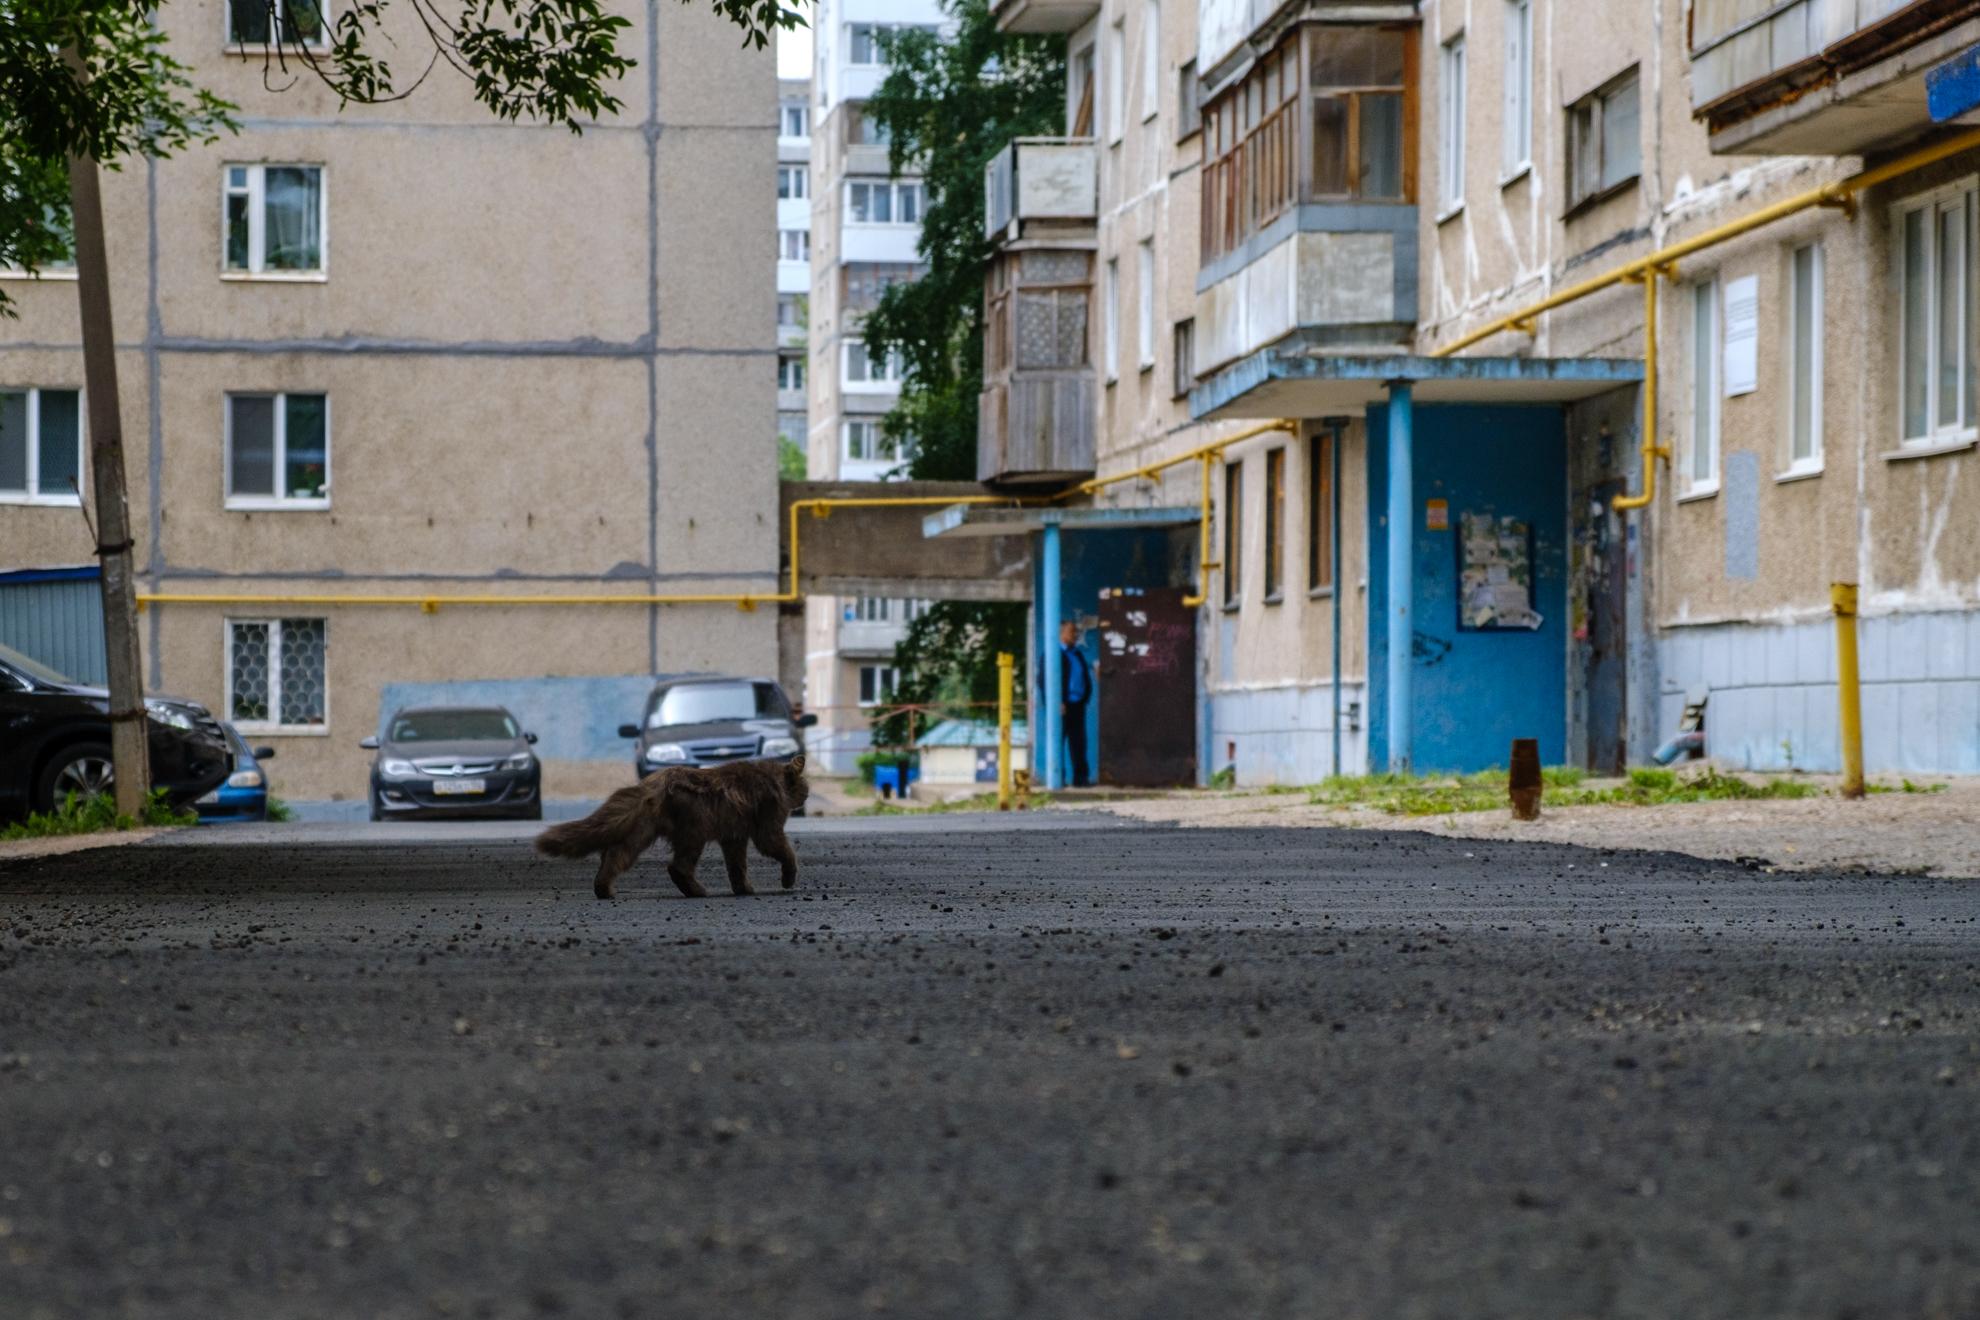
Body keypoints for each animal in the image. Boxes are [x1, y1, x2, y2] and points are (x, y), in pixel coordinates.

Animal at [538, 752, 807, 898]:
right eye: (805, 785)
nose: (805, 796)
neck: (773, 777)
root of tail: (653, 781)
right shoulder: (767, 830)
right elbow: (787, 853)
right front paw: (788, 879)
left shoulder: (734, 837)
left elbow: (737, 867)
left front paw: (743, 889)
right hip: (694, 832)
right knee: (677, 867)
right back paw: (697, 891)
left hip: (640, 833)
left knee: (613, 856)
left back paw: (603, 890)